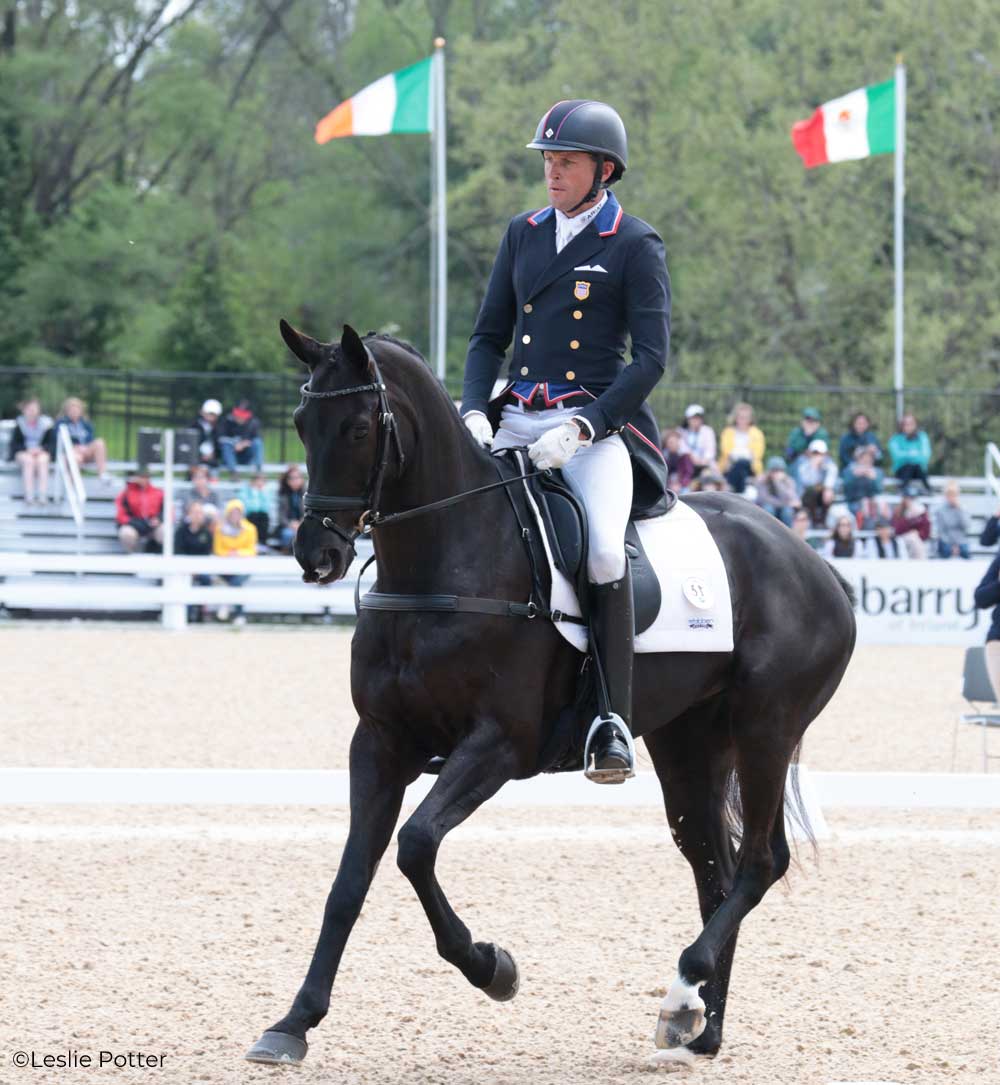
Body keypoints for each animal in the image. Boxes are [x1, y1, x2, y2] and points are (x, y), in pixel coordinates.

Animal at [245, 323, 854, 1067]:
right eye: (302, 424)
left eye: (359, 427)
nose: (316, 556)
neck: (447, 557)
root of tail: (815, 562)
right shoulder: (381, 743)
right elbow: (348, 881)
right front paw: (293, 1022)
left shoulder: (500, 744)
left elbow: (416, 845)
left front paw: (492, 967)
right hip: (691, 742)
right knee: (714, 866)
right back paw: (698, 1027)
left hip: (767, 727)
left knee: (760, 862)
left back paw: (680, 995)